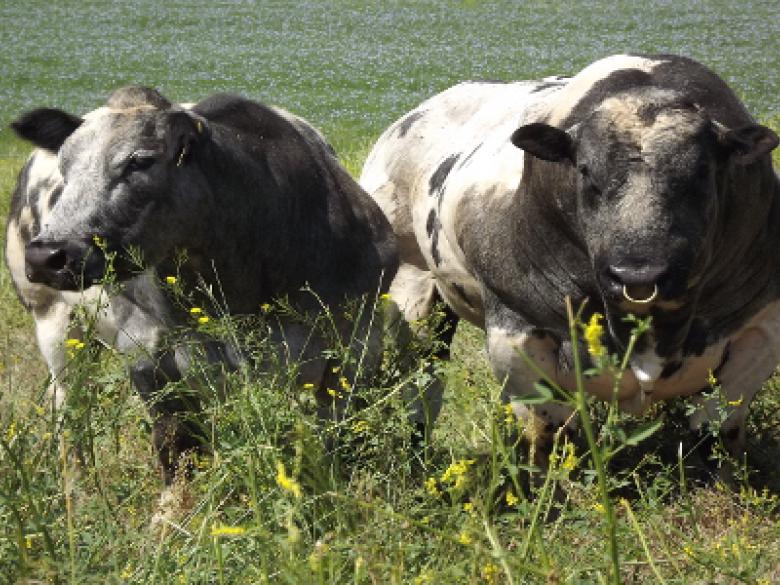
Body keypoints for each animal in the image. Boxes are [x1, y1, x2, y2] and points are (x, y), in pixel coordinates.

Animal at [6, 85, 398, 486]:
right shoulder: (146, 355)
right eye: (65, 166)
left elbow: (336, 440)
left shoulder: (358, 346)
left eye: (140, 161)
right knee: (68, 402)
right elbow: (176, 447)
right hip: (52, 320)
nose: (46, 255)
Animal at [359, 54, 780, 474]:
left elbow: (716, 434)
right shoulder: (517, 333)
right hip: (413, 293)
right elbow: (550, 440)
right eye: (586, 171)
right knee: (422, 378)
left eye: (702, 172)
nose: (639, 275)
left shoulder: (759, 330)